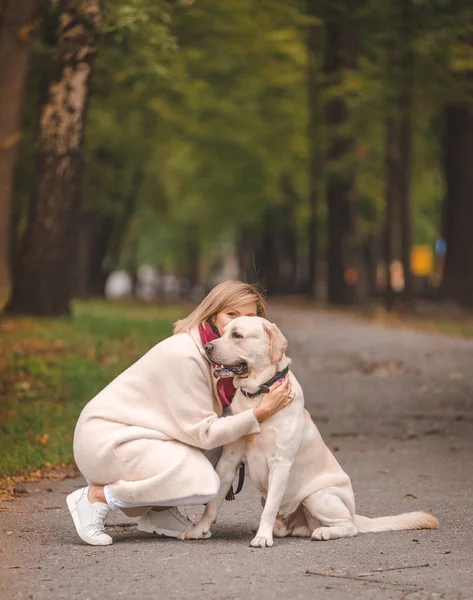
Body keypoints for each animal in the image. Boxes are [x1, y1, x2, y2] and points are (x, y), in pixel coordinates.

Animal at [178, 318, 438, 548]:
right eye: (222, 332)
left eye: (237, 335)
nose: (207, 348)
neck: (257, 397)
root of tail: (355, 513)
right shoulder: (229, 461)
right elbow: (213, 505)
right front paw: (199, 530)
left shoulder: (281, 463)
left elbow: (270, 508)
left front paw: (262, 538)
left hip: (318, 497)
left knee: (349, 527)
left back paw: (323, 532)